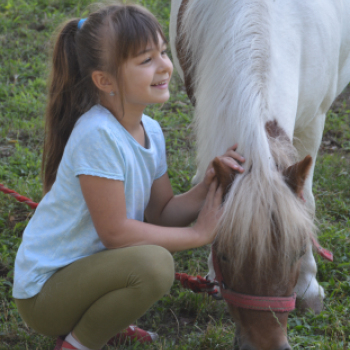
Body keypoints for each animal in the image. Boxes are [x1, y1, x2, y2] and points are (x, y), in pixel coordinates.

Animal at [169, 1, 350, 348]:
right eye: (224, 255)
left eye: (297, 252)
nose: (267, 344)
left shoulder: (314, 122)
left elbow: (306, 202)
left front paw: (308, 285)